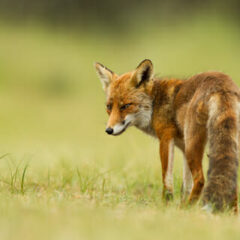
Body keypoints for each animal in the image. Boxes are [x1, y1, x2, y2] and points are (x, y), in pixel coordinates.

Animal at [94, 59, 239, 213]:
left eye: (126, 106)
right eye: (109, 107)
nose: (109, 130)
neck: (155, 102)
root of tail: (222, 83)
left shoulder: (166, 137)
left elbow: (167, 179)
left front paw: (166, 205)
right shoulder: (182, 147)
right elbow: (186, 186)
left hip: (193, 145)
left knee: (200, 179)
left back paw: (187, 209)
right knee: (232, 182)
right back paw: (232, 213)